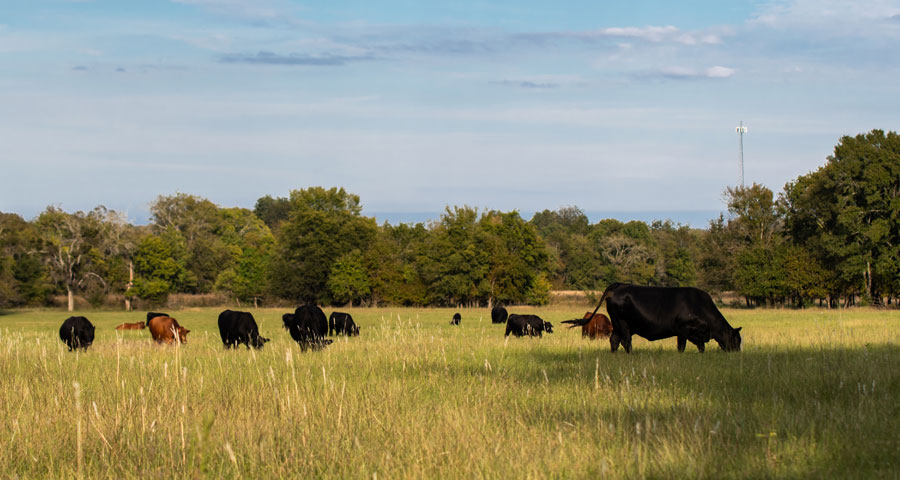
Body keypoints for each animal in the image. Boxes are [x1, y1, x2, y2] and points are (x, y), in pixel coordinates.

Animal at [592, 282, 740, 352]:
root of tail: (620, 285)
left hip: (617, 324)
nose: (737, 353)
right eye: (737, 340)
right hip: (623, 324)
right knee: (626, 341)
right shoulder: (683, 329)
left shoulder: (697, 335)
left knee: (614, 340)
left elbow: (701, 347)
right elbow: (681, 347)